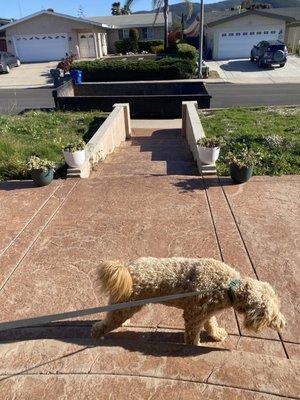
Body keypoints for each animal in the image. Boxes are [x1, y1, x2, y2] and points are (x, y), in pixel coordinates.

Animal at [92, 258, 286, 346]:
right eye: (272, 314)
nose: (283, 323)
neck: (228, 286)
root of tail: (127, 268)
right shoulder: (194, 315)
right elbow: (193, 336)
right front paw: (195, 347)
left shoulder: (206, 312)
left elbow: (211, 324)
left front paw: (216, 334)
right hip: (125, 306)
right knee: (103, 324)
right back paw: (96, 335)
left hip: (125, 305)